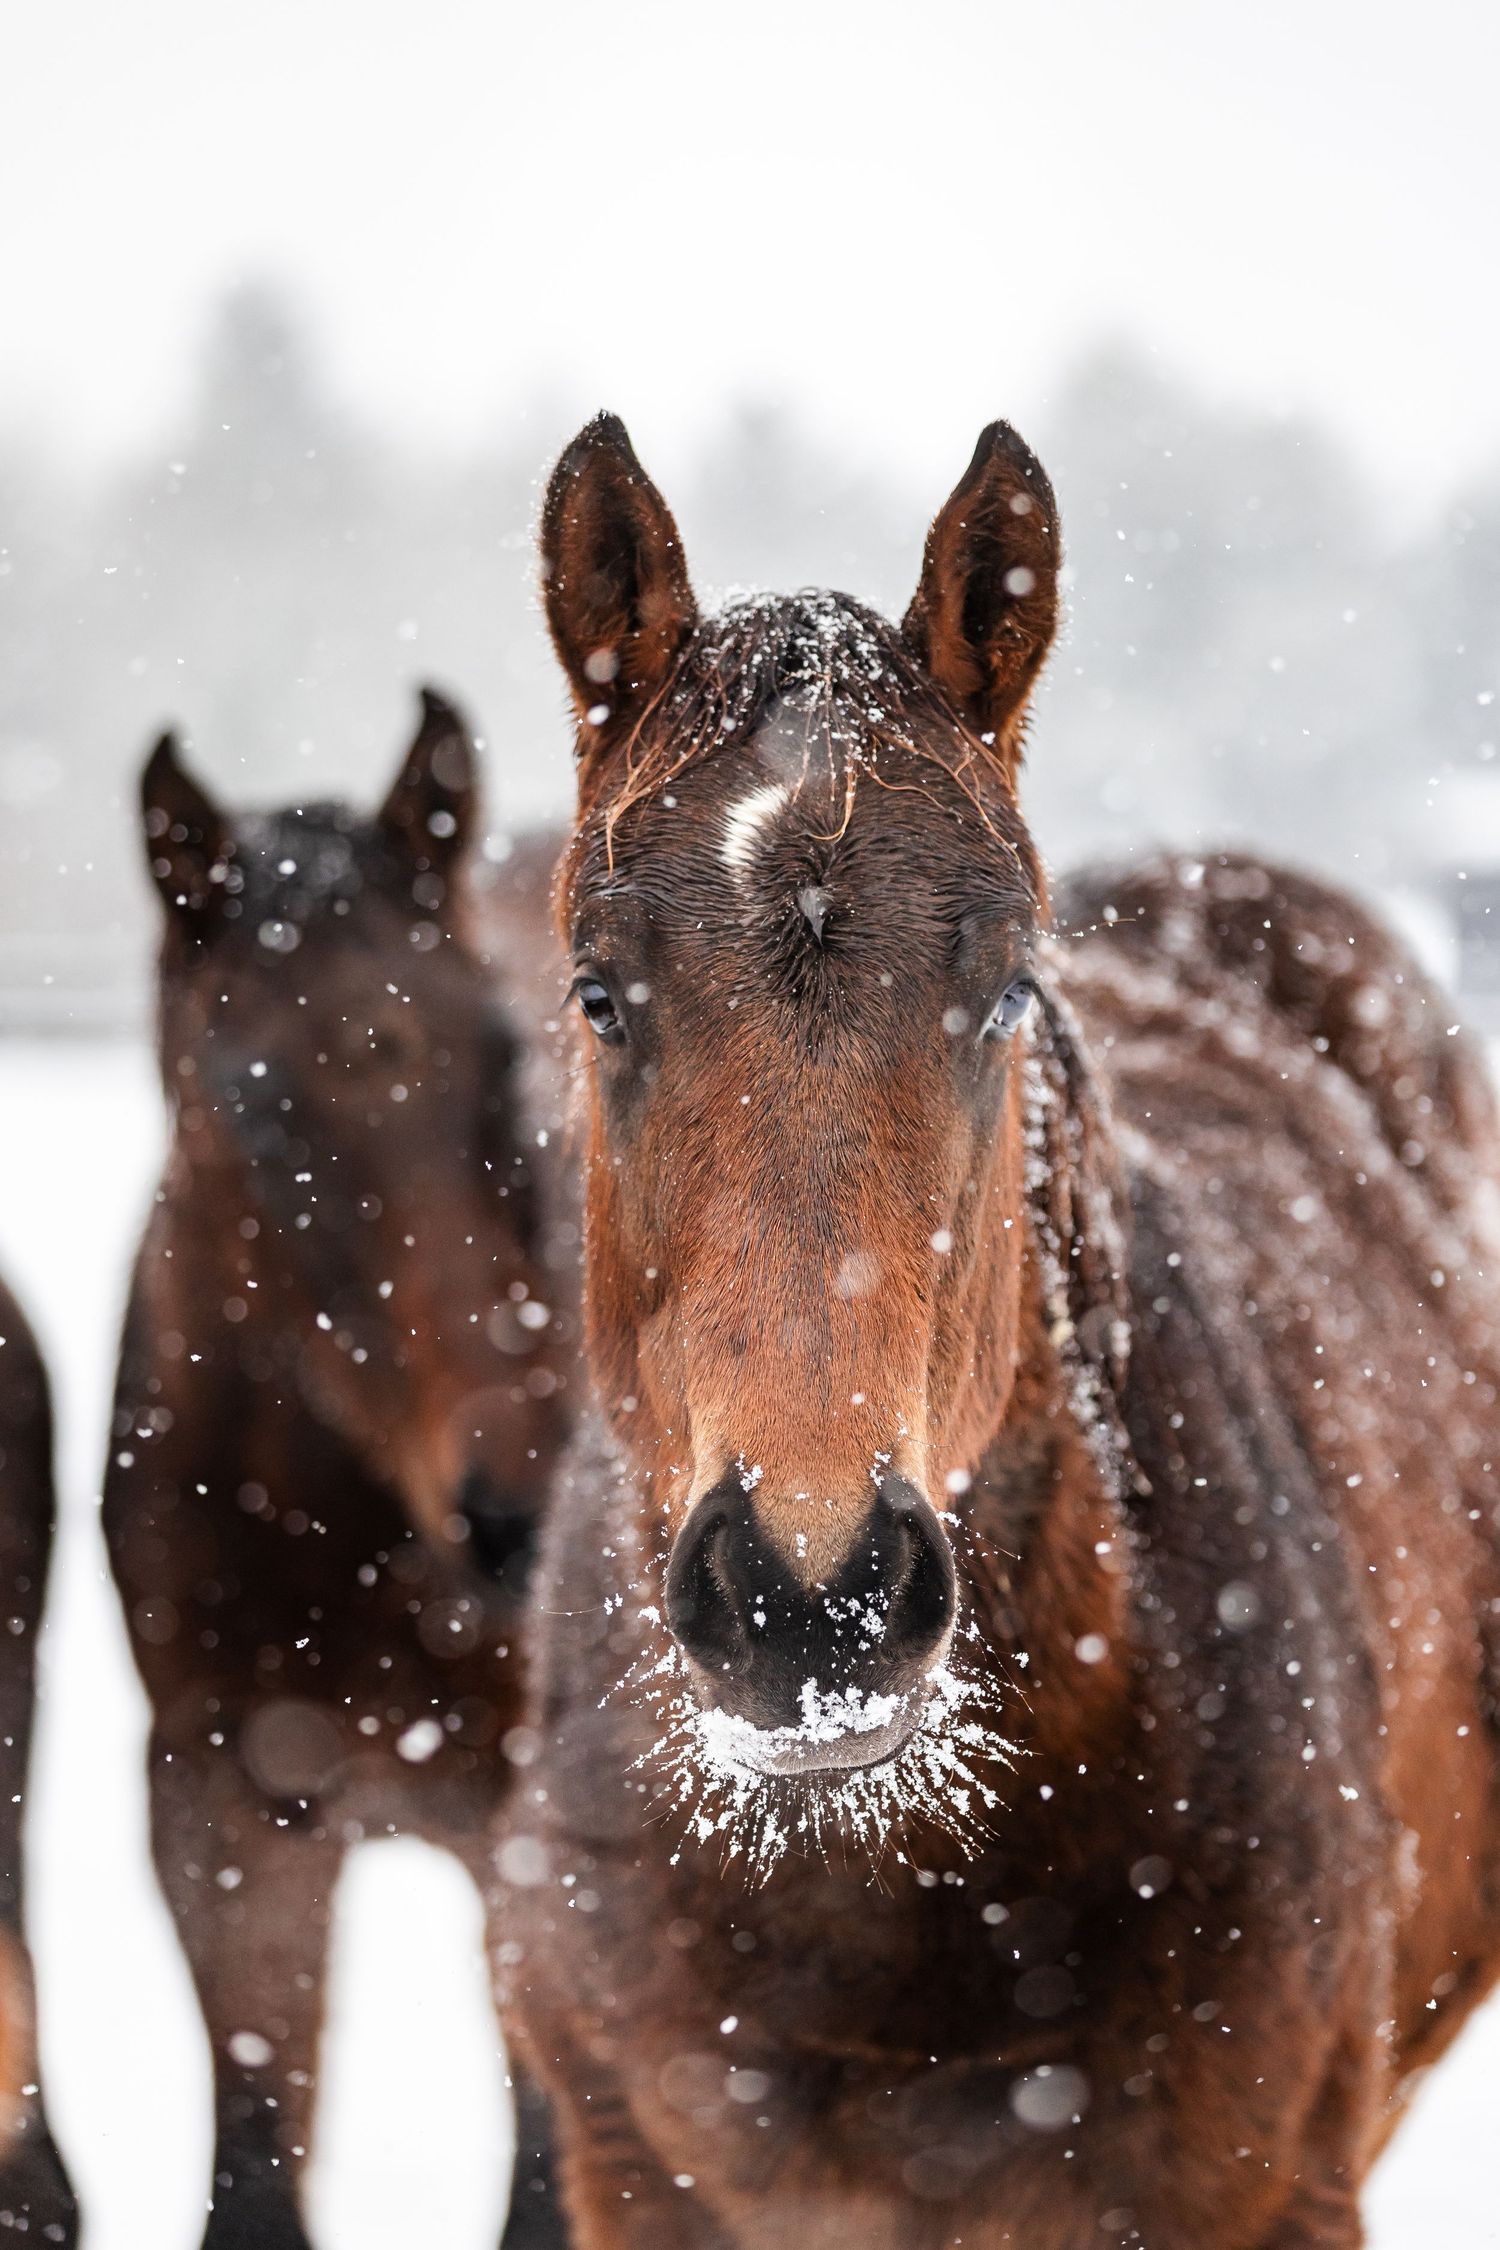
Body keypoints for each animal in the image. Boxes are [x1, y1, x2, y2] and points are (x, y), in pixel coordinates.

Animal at [103, 689, 577, 2249]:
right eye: (249, 1107)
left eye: (503, 1055)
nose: (521, 1510)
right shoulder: (228, 1818)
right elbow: (252, 2164)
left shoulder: (526, 1839)